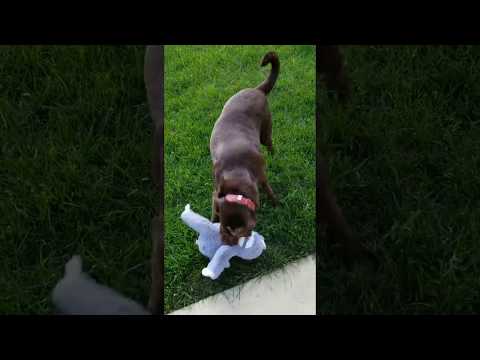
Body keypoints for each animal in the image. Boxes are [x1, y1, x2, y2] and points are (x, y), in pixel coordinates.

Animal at [209, 52, 278, 246]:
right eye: (222, 226)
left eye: (236, 232)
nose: (225, 243)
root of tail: (257, 90)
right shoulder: (216, 191)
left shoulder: (262, 176)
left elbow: (268, 189)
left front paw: (276, 203)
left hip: (265, 131)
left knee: (270, 142)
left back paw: (273, 154)